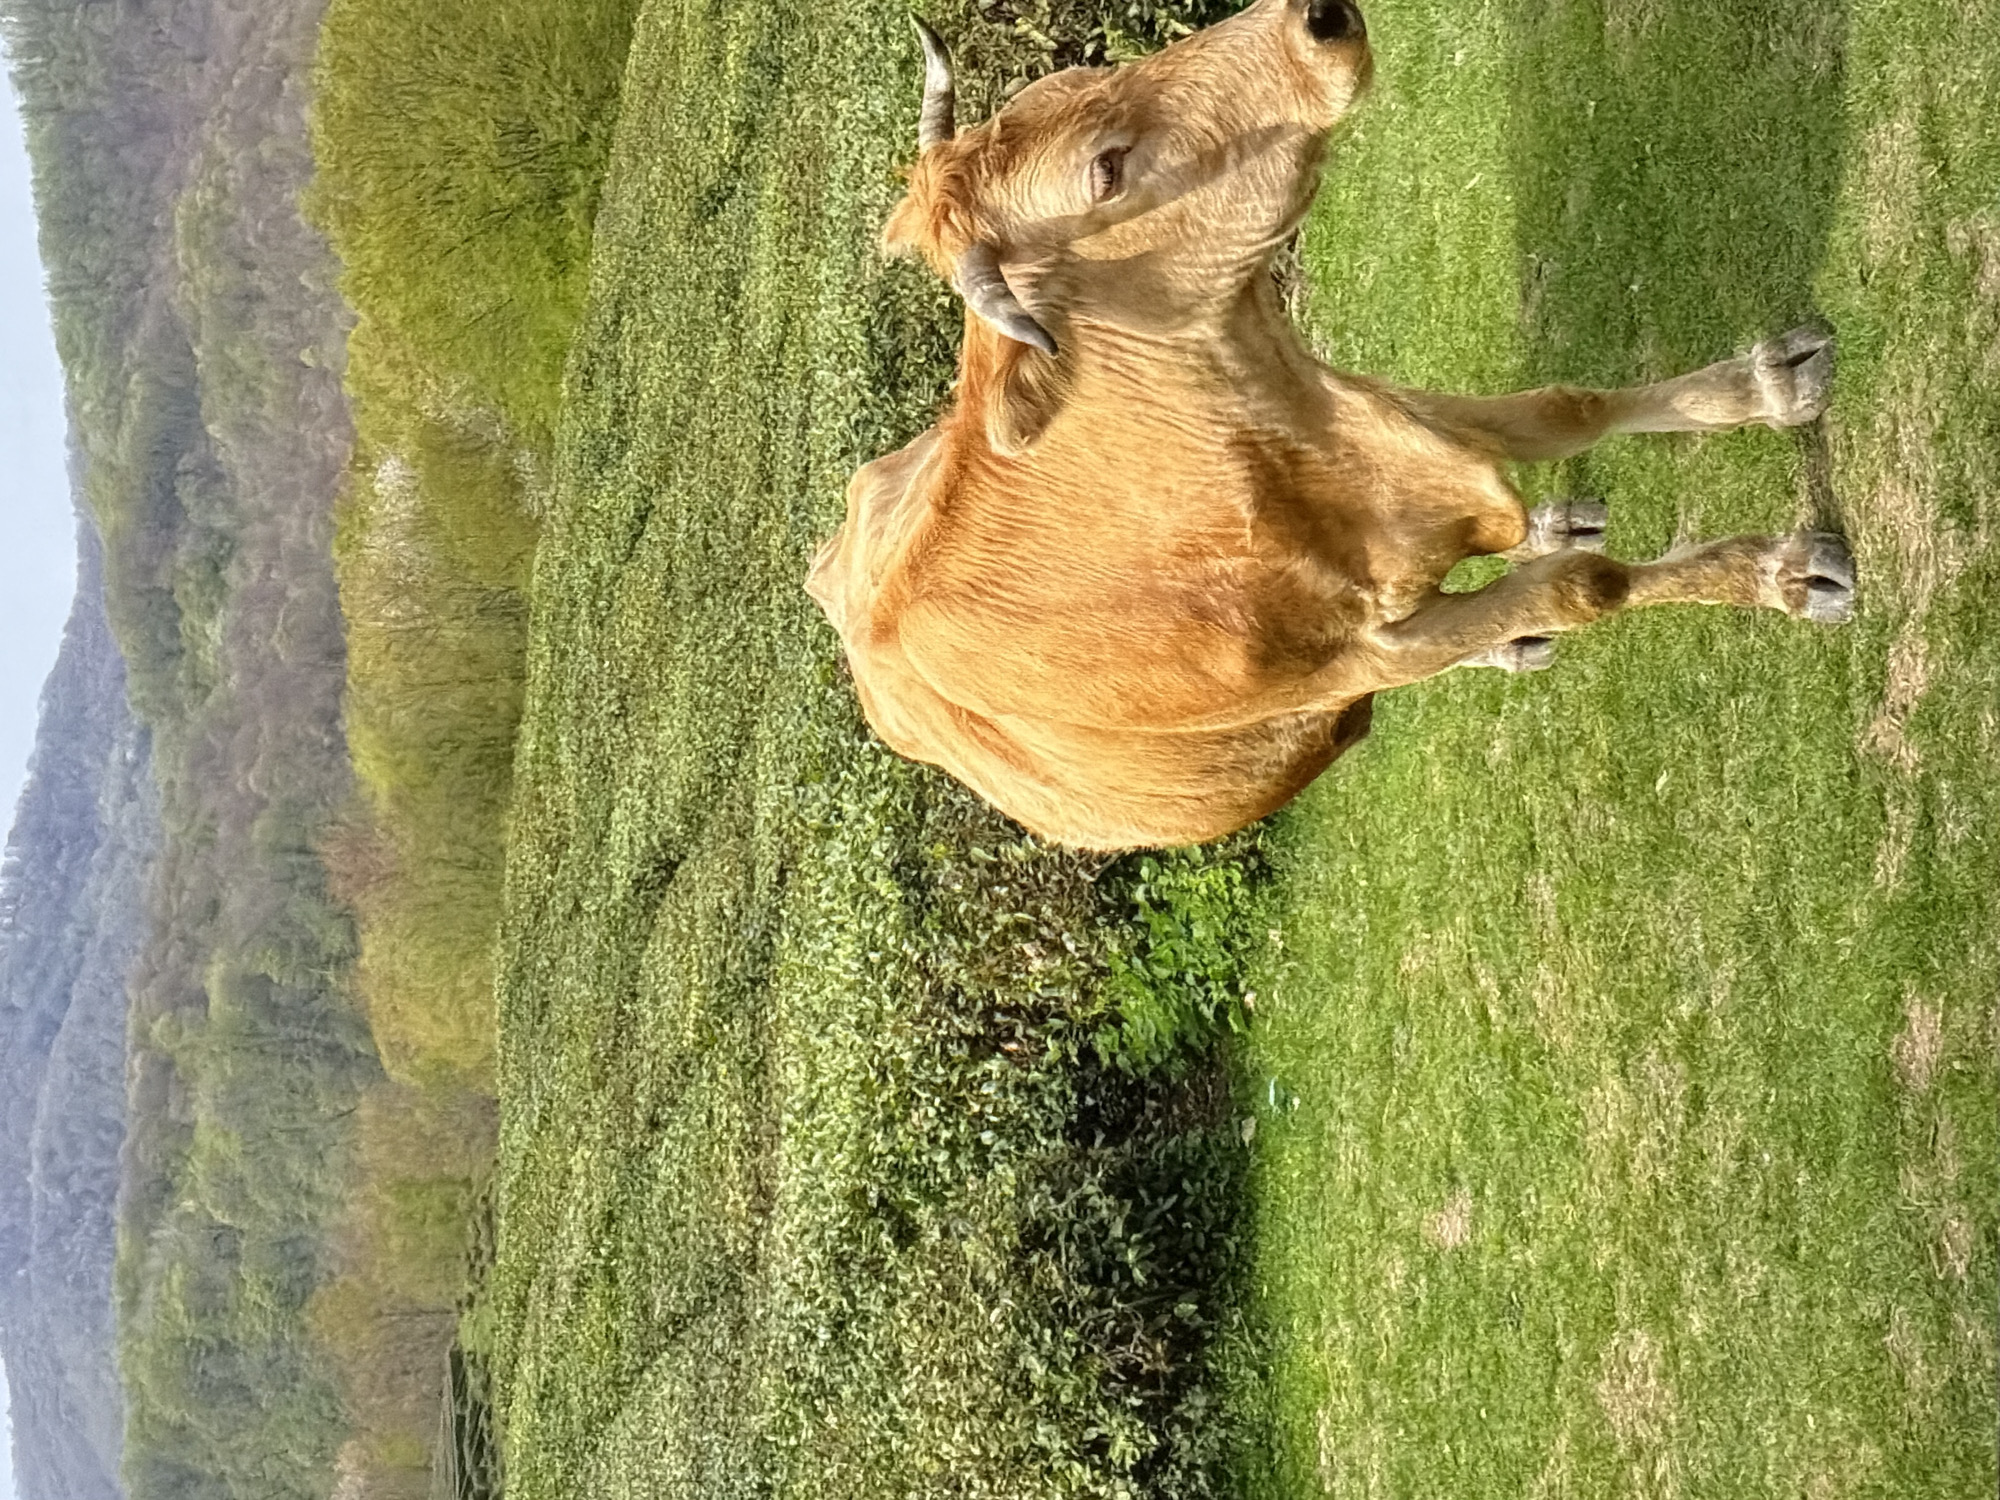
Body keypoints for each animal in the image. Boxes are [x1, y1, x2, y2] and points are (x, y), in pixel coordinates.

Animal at [806, 0, 1855, 851]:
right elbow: (1584, 589)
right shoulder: (1364, 652)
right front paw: (1787, 574)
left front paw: (1772, 385)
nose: (1314, 15)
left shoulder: (1384, 411)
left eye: (1077, 81)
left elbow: (1565, 410)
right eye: (1106, 171)